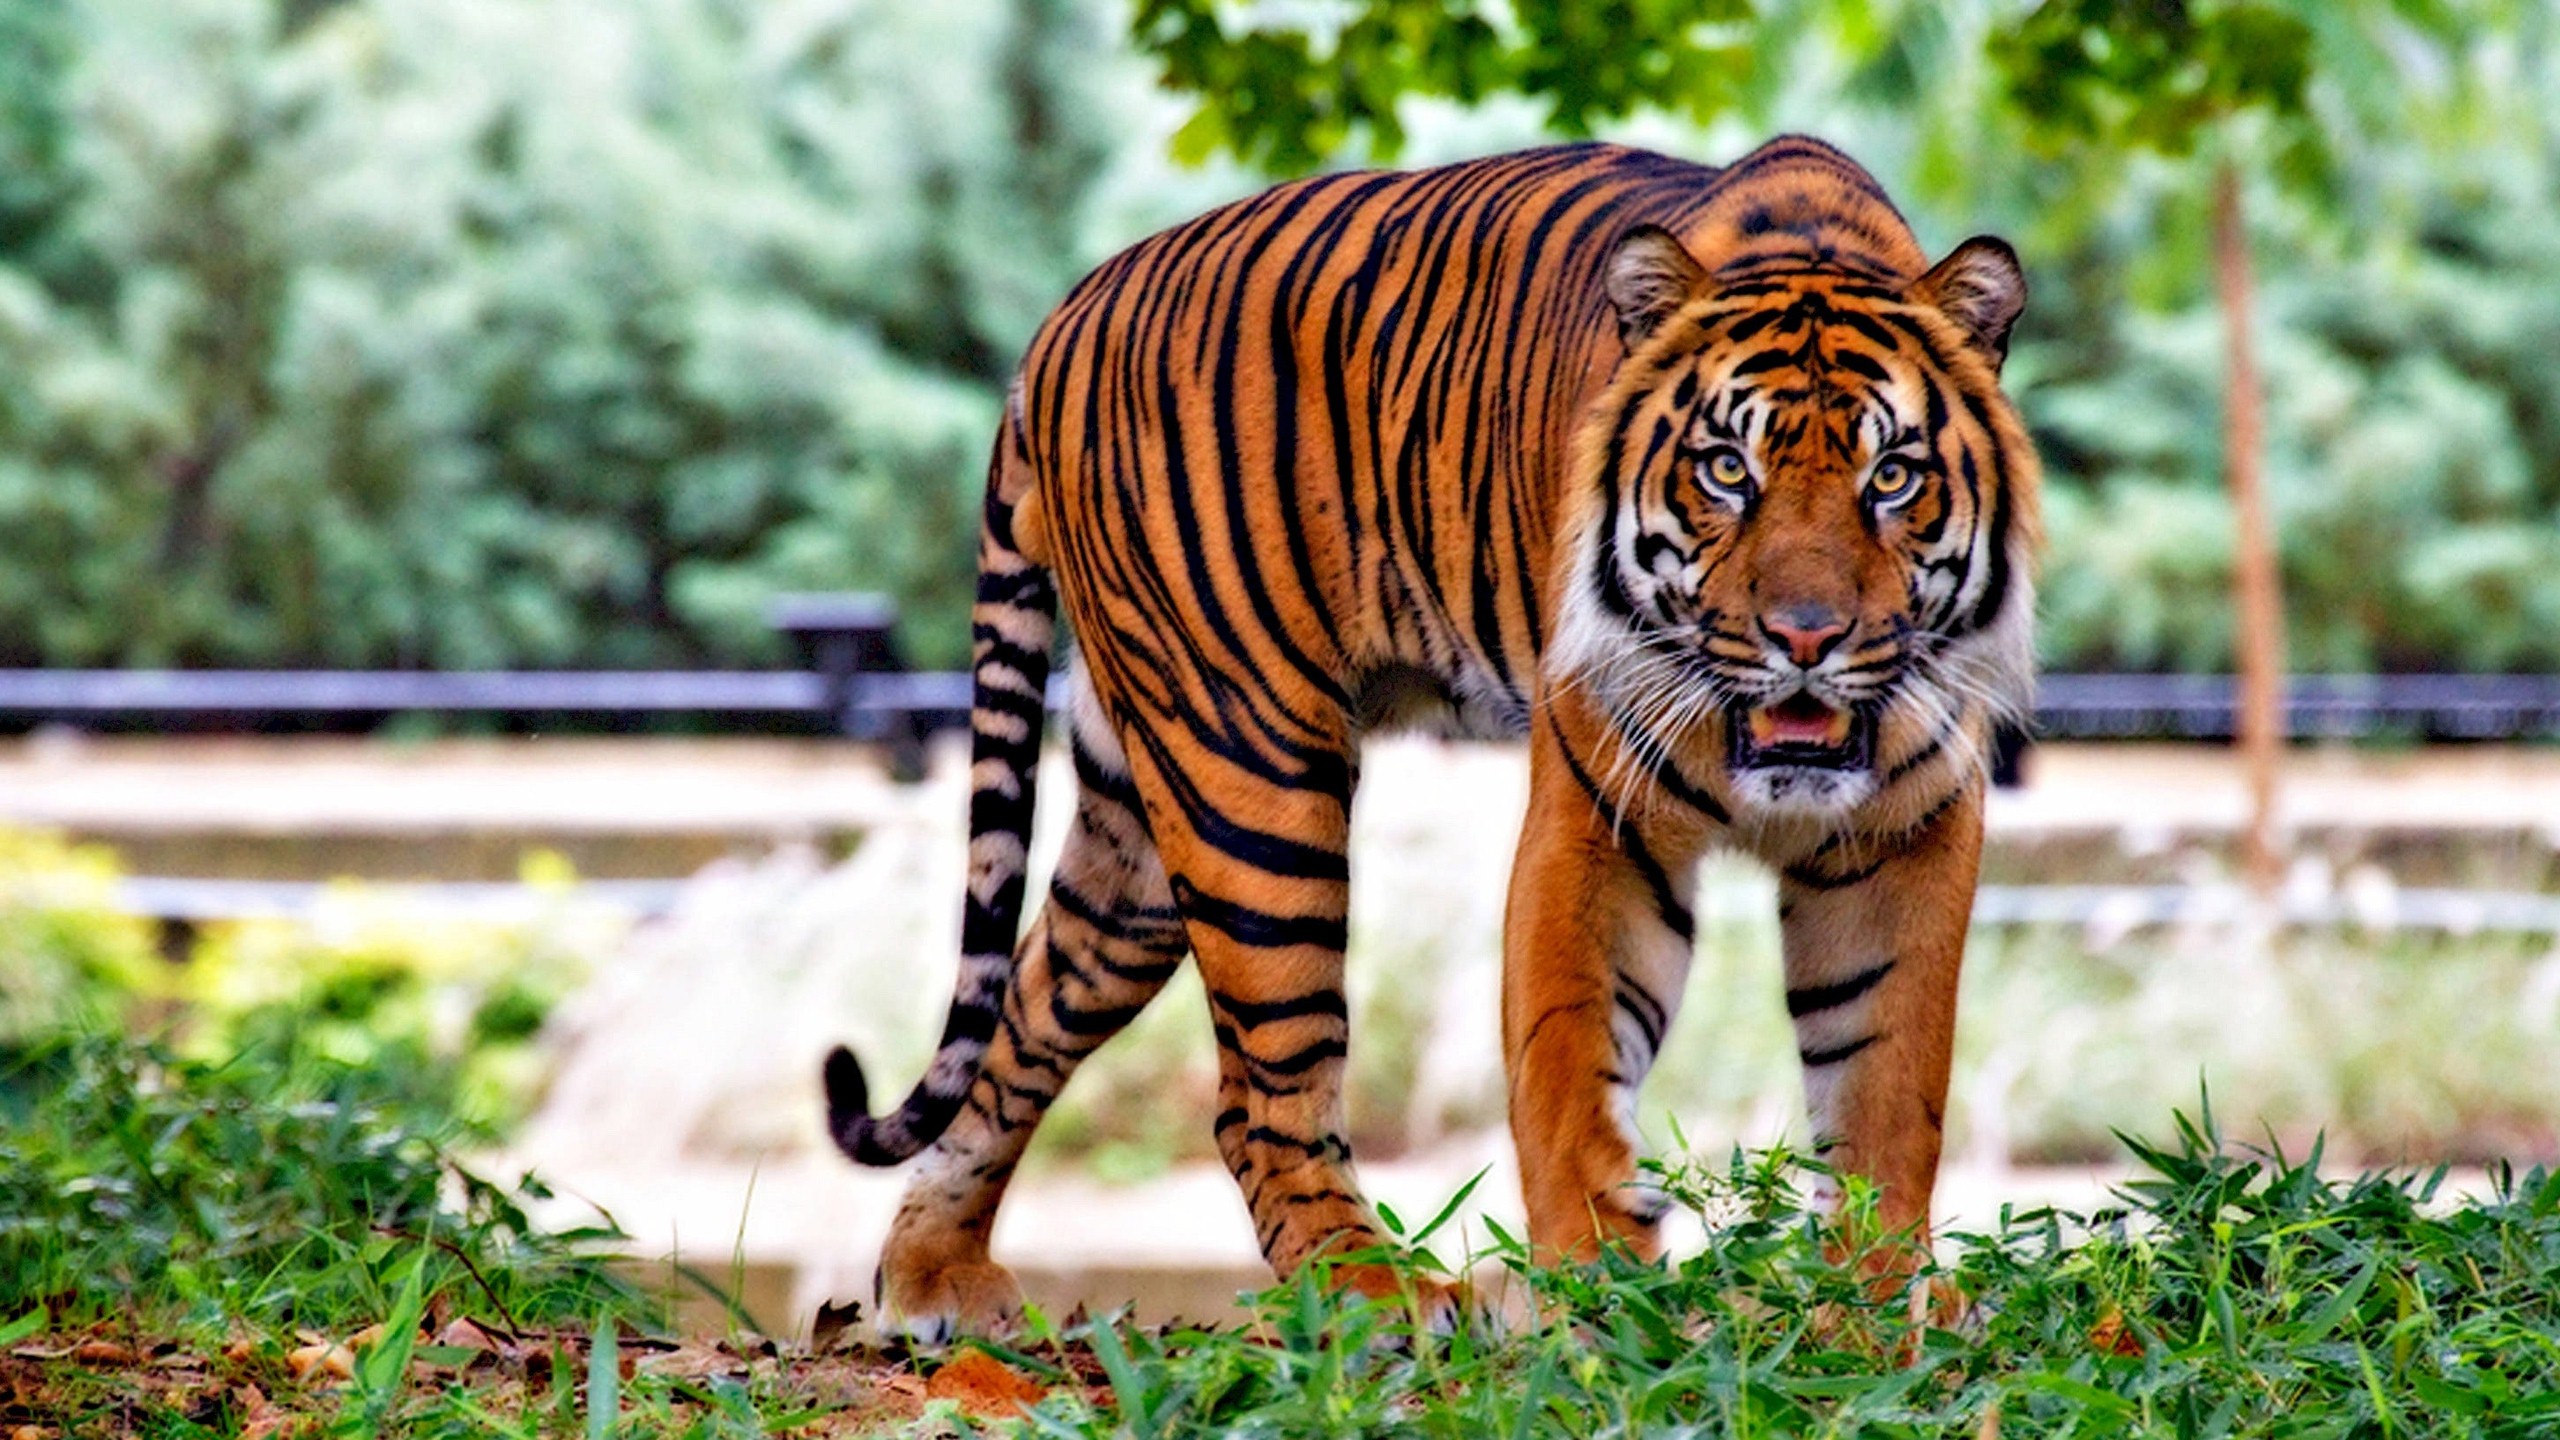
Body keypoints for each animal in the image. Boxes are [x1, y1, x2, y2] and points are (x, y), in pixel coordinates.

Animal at [823, 135, 2038, 1340]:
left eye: (1892, 477)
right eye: (1726, 471)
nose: (1805, 637)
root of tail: (1063, 316)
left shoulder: (1909, 831)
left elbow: (1887, 1085)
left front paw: (1870, 1302)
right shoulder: (1595, 820)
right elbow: (1570, 1067)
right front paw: (1604, 1303)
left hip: (1137, 837)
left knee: (1027, 1011)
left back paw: (932, 1274)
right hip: (1250, 778)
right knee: (1257, 1096)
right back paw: (1378, 1294)